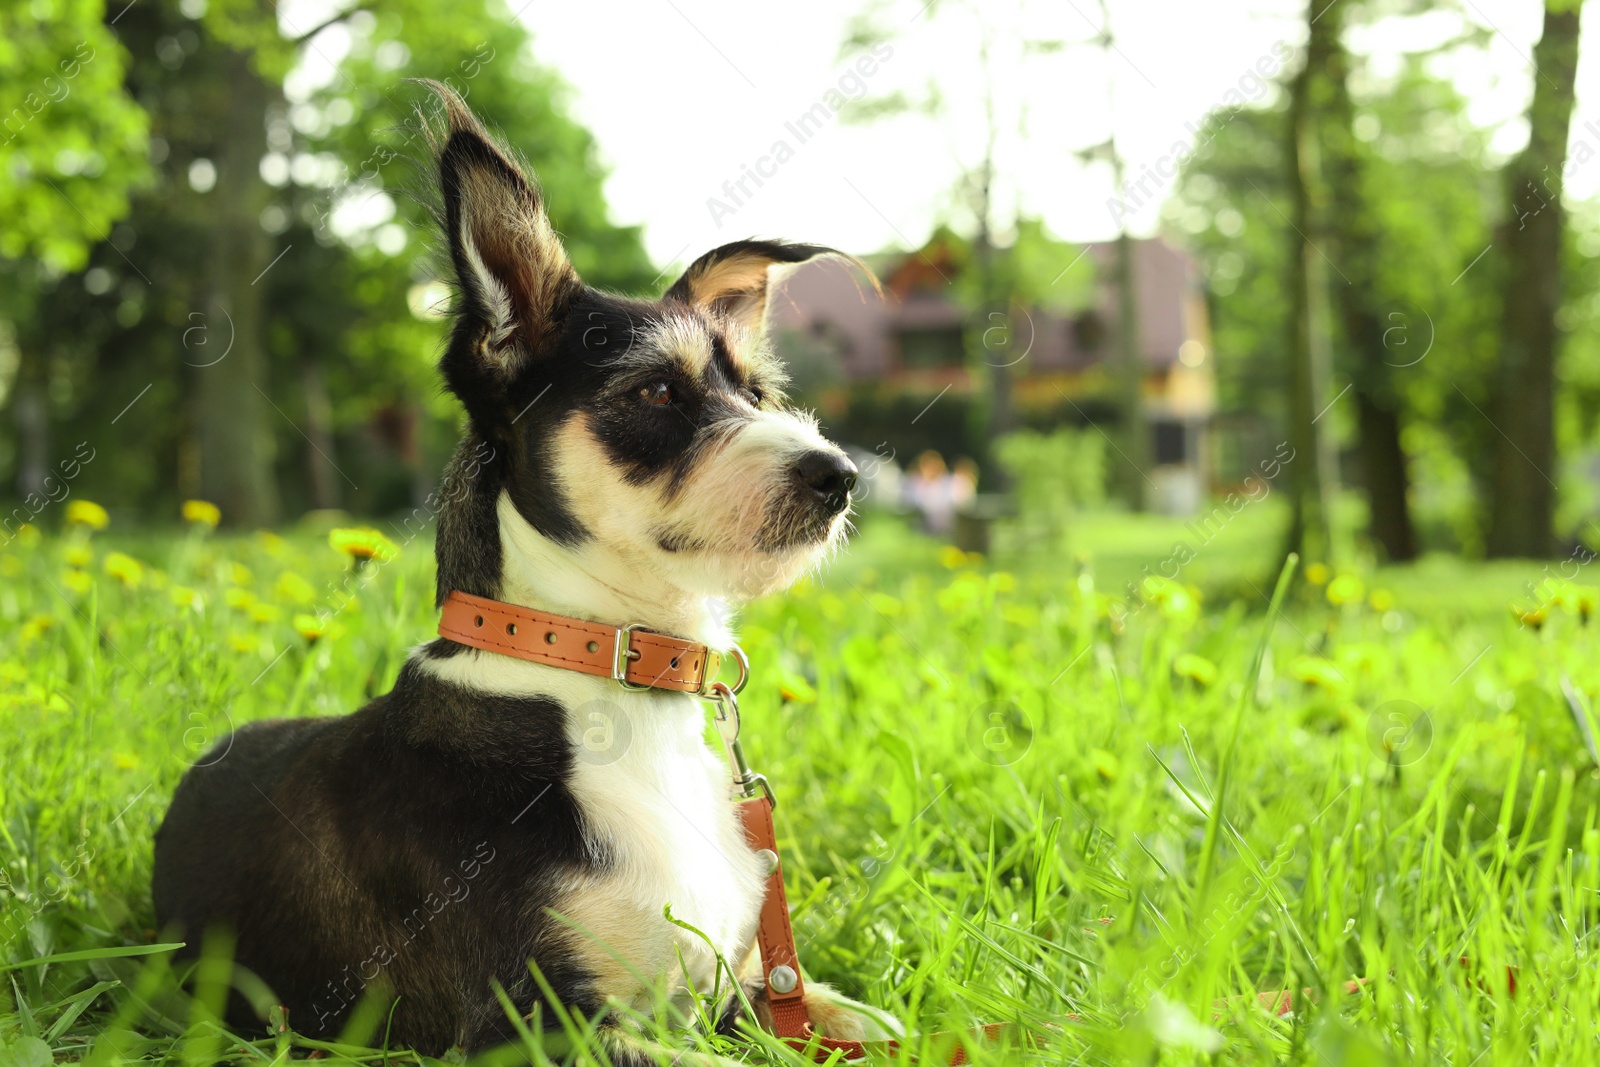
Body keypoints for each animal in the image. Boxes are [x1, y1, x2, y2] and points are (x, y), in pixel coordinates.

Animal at [150, 85, 902, 1062]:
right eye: (657, 392)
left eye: (760, 396)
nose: (838, 474)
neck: (604, 673)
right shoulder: (534, 1022)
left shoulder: (741, 985)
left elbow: (861, 1014)